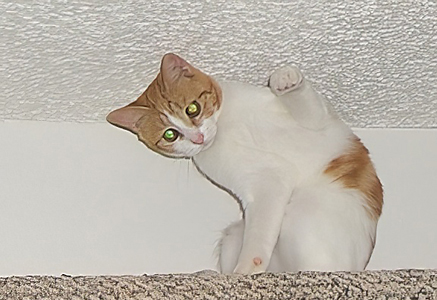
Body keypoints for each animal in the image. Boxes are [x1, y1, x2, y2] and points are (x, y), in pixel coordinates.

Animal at [106, 53, 382, 274]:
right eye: (170, 135)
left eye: (193, 109)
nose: (198, 138)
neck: (226, 129)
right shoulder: (262, 184)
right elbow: (259, 238)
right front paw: (245, 271)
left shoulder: (316, 122)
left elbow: (307, 105)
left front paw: (285, 78)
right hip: (236, 234)